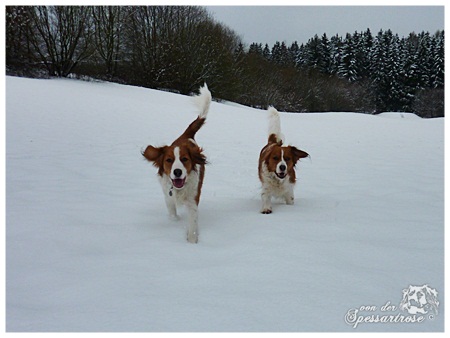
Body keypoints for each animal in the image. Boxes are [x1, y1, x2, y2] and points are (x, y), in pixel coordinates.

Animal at [142, 84, 211, 243]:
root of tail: (186, 135)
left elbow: (192, 225)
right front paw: (174, 223)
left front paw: (192, 242)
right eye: (169, 160)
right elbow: (172, 211)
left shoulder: (193, 201)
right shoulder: (168, 196)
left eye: (185, 159)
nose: (177, 172)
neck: (180, 189)